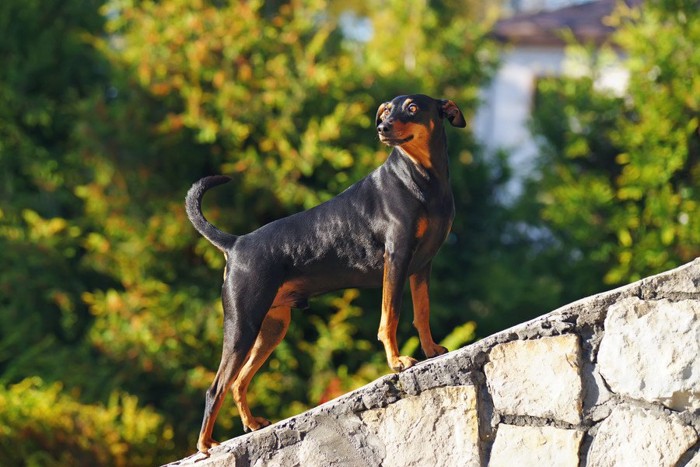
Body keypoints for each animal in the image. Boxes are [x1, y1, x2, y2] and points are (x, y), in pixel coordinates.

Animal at [186, 93, 464, 456]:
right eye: (386, 111)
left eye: (412, 108)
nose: (382, 127)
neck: (420, 178)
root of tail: (235, 243)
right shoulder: (397, 259)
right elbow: (390, 317)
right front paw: (397, 362)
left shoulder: (421, 266)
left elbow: (422, 312)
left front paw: (431, 350)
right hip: (242, 323)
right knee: (217, 386)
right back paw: (206, 444)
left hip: (271, 327)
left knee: (238, 381)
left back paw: (253, 424)